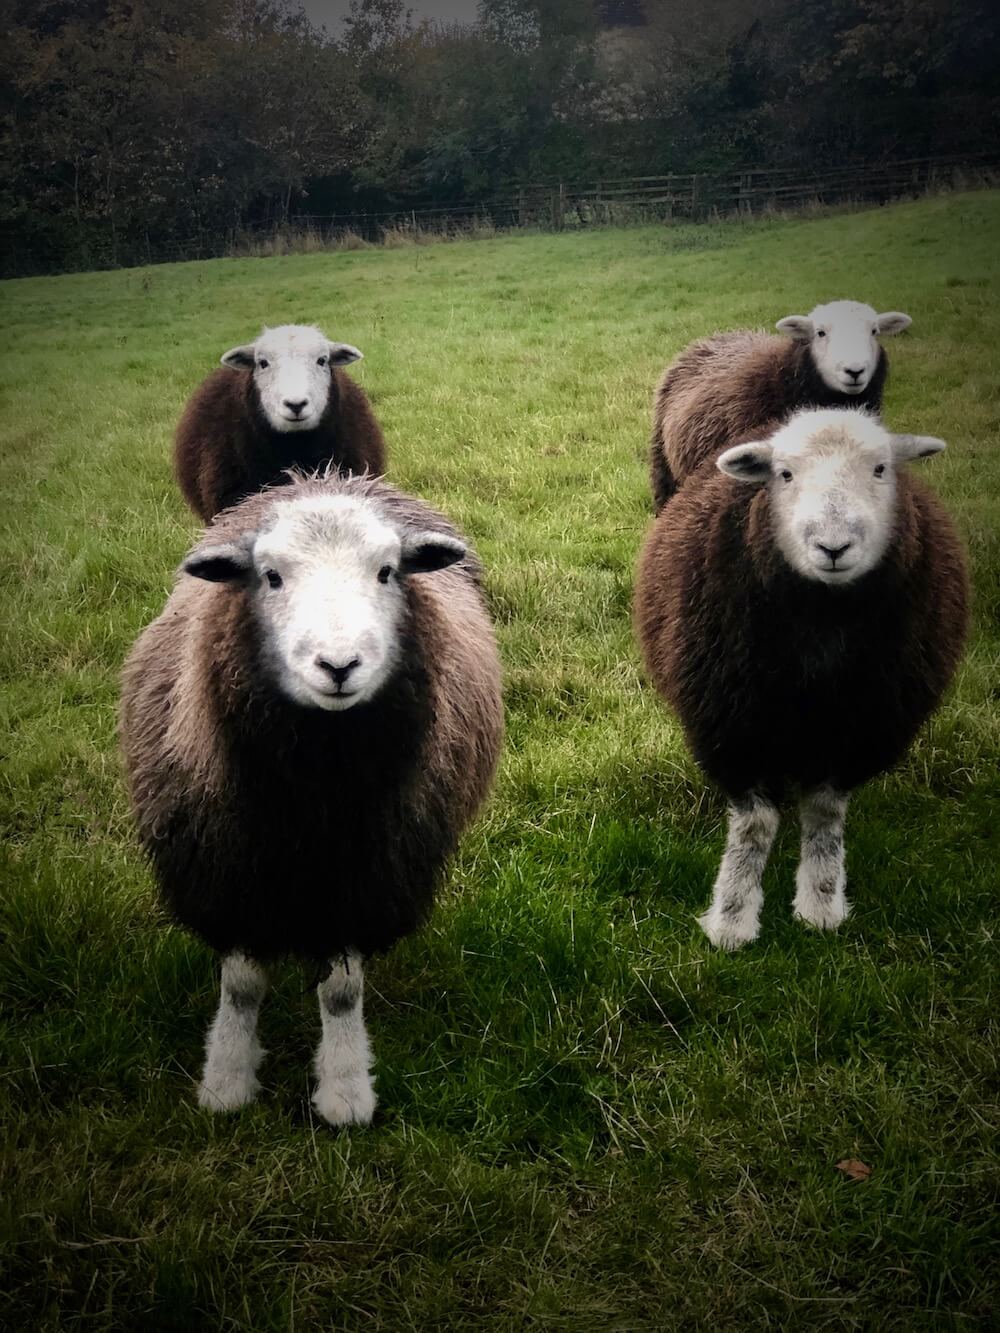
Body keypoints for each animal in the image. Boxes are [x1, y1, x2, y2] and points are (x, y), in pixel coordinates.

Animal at [634, 402, 970, 949]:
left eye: (881, 469)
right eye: (784, 474)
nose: (833, 547)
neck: (821, 624)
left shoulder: (861, 730)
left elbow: (825, 815)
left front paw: (820, 903)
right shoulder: (732, 724)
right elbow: (754, 826)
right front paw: (733, 917)